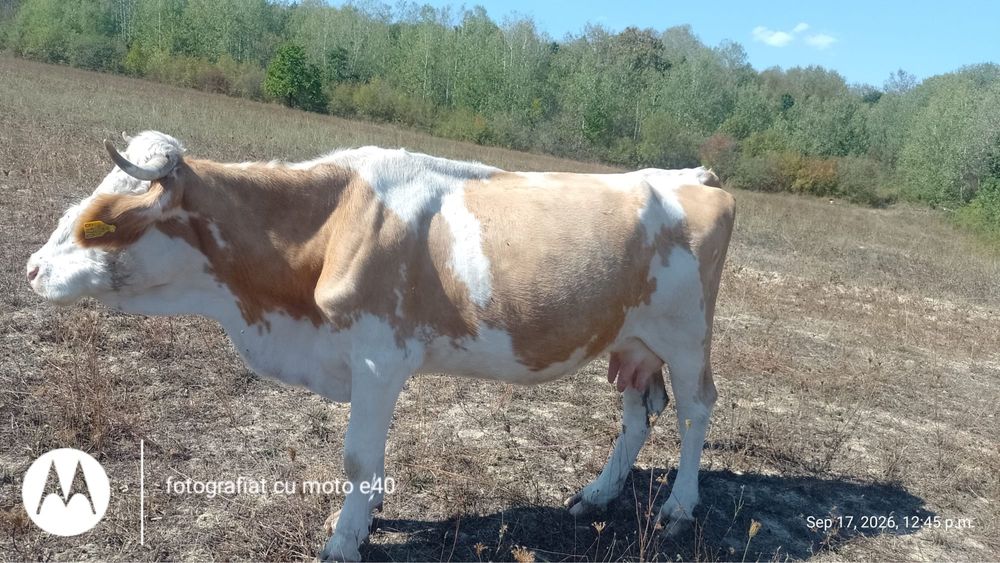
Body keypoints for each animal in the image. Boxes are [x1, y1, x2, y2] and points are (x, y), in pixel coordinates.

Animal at [27, 131, 735, 561]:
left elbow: (358, 457)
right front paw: (366, 515)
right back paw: (599, 494)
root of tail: (693, 175)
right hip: (633, 342)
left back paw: (679, 506)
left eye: (100, 224)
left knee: (697, 410)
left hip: (687, 335)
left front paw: (345, 537)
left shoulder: (376, 357)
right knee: (638, 416)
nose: (31, 269)